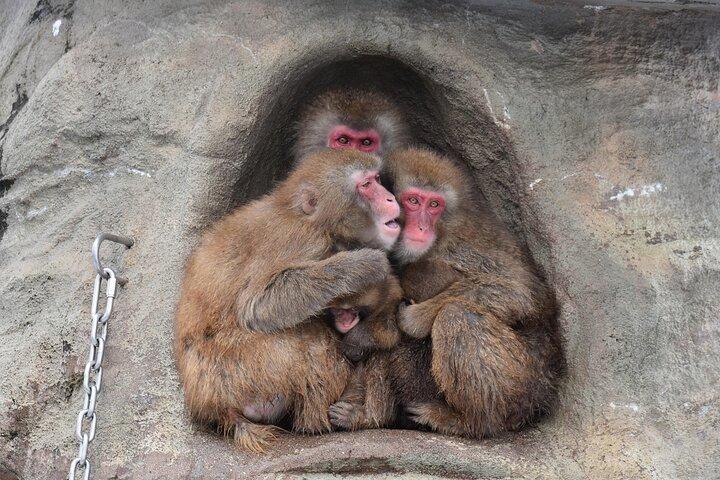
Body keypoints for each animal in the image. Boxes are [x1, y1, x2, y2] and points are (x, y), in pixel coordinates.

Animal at [174, 149, 402, 452]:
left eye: (377, 179)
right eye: (366, 185)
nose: (390, 198)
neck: (306, 217)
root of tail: (216, 405)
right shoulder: (304, 241)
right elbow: (258, 306)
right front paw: (362, 265)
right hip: (252, 369)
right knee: (310, 339)